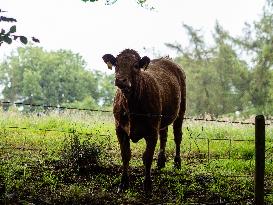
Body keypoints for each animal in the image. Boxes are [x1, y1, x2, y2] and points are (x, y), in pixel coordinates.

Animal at [102, 48, 185, 195]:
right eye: (116, 64)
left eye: (136, 65)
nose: (120, 80)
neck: (132, 107)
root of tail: (167, 59)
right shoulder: (120, 129)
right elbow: (125, 155)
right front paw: (123, 184)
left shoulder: (152, 132)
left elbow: (147, 157)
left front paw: (147, 186)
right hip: (162, 120)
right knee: (164, 136)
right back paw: (161, 161)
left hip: (181, 111)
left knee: (177, 136)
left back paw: (177, 162)